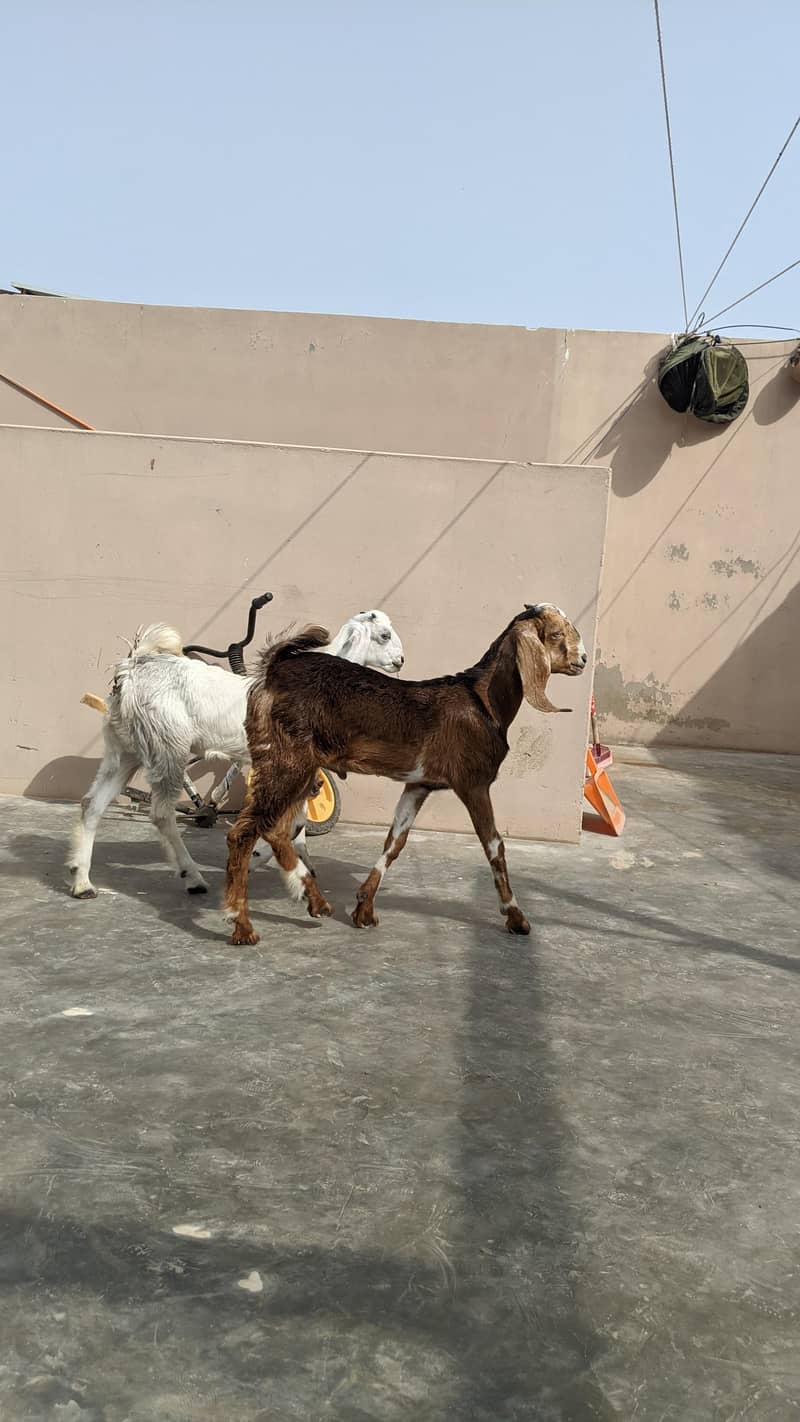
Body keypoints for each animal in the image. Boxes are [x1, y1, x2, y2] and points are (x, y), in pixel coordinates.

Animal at [68, 609, 404, 899]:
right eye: (384, 635)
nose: (400, 661)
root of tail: (132, 670)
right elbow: (292, 821)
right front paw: (264, 860)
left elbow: (297, 819)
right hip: (167, 747)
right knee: (162, 814)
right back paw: (193, 878)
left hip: (124, 750)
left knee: (92, 803)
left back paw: (82, 882)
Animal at [224, 603, 587, 946]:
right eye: (556, 634)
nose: (583, 660)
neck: (482, 699)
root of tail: (274, 671)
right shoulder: (474, 783)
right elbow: (494, 846)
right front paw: (516, 918)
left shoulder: (418, 784)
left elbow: (395, 842)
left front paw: (364, 909)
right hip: (286, 762)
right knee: (245, 832)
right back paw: (242, 926)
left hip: (300, 768)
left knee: (277, 829)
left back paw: (315, 900)